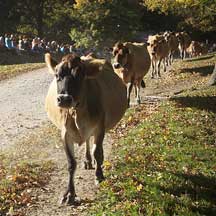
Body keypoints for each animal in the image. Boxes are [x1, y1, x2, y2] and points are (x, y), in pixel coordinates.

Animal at [44, 52, 127, 204]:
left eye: (80, 75)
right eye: (57, 75)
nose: (64, 99)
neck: (77, 111)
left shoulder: (100, 127)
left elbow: (98, 153)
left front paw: (99, 176)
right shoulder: (65, 134)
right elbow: (71, 163)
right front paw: (70, 194)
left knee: (94, 146)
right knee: (88, 141)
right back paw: (88, 160)